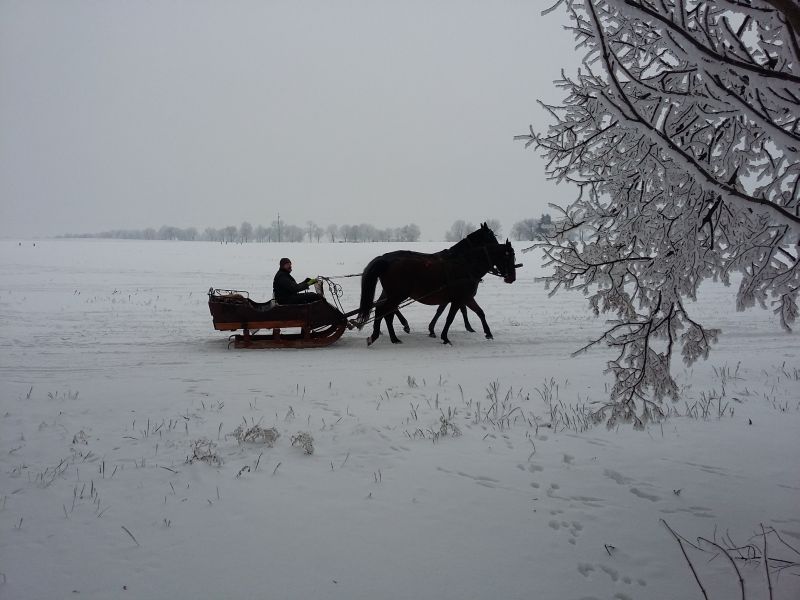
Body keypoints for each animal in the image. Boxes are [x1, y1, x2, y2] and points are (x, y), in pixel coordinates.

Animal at [358, 238, 520, 344]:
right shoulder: (457, 299)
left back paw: (391, 336)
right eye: (509, 257)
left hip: (393, 295)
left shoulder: (466, 297)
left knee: (386, 312)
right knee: (382, 311)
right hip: (397, 295)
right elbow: (450, 317)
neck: (466, 266)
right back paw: (378, 335)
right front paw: (445, 337)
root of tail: (385, 260)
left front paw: (488, 333)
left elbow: (479, 312)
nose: (512, 278)